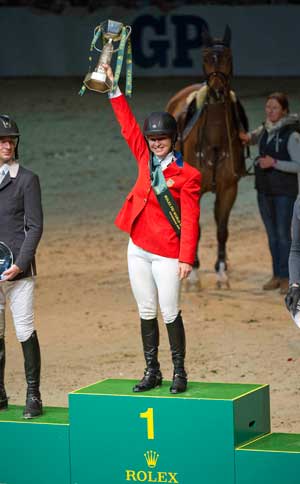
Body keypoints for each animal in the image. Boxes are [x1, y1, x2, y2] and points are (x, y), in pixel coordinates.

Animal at [165, 25, 247, 288]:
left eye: (228, 57)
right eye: (205, 57)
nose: (217, 90)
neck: (214, 142)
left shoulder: (229, 189)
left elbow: (222, 229)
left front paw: (221, 271)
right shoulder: (195, 190)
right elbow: (196, 229)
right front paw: (193, 272)